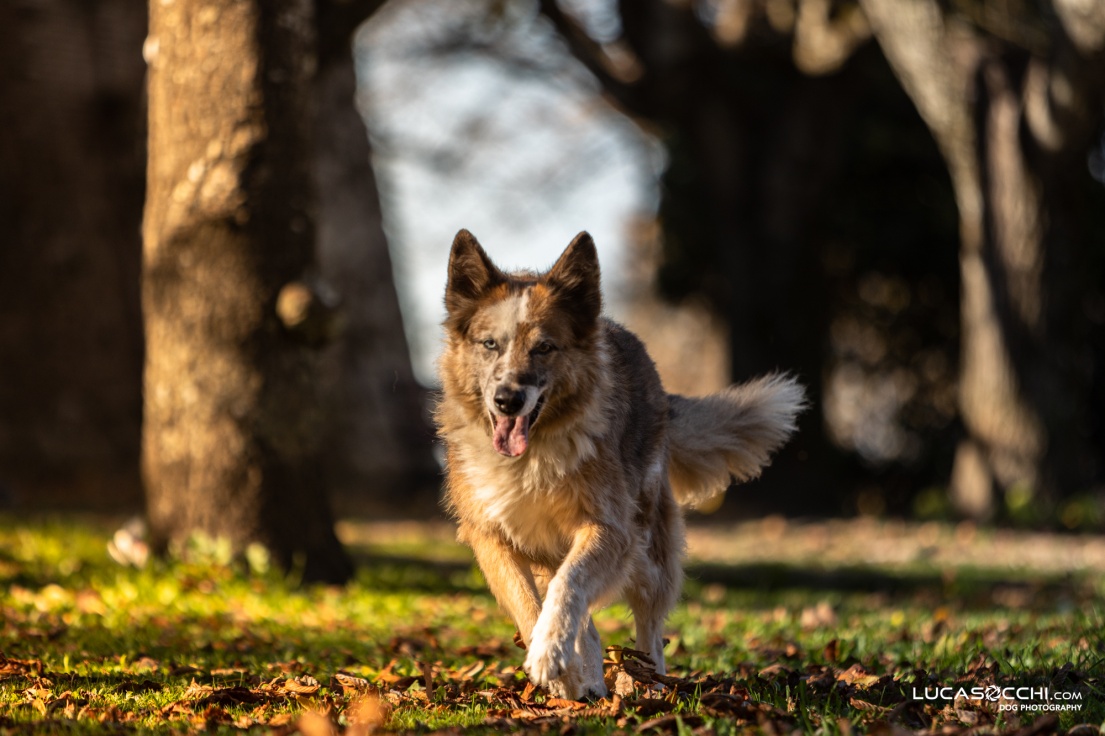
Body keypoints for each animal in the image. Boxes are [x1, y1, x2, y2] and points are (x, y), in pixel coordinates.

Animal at [430, 229, 804, 698]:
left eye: (544, 348)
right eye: (489, 345)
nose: (507, 400)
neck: (530, 457)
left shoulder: (609, 529)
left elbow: (569, 585)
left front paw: (550, 652)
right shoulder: (491, 536)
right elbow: (528, 602)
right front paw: (560, 667)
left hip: (649, 555)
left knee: (648, 627)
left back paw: (652, 684)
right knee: (583, 618)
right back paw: (587, 681)